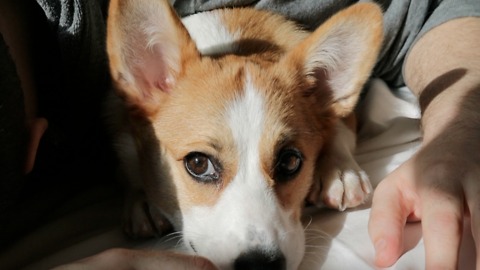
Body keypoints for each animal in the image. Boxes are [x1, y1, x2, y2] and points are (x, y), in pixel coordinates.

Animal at [106, 1, 382, 268]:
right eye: (198, 163)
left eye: (291, 161)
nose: (260, 265)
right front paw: (141, 199)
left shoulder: (346, 116)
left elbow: (337, 128)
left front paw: (341, 171)